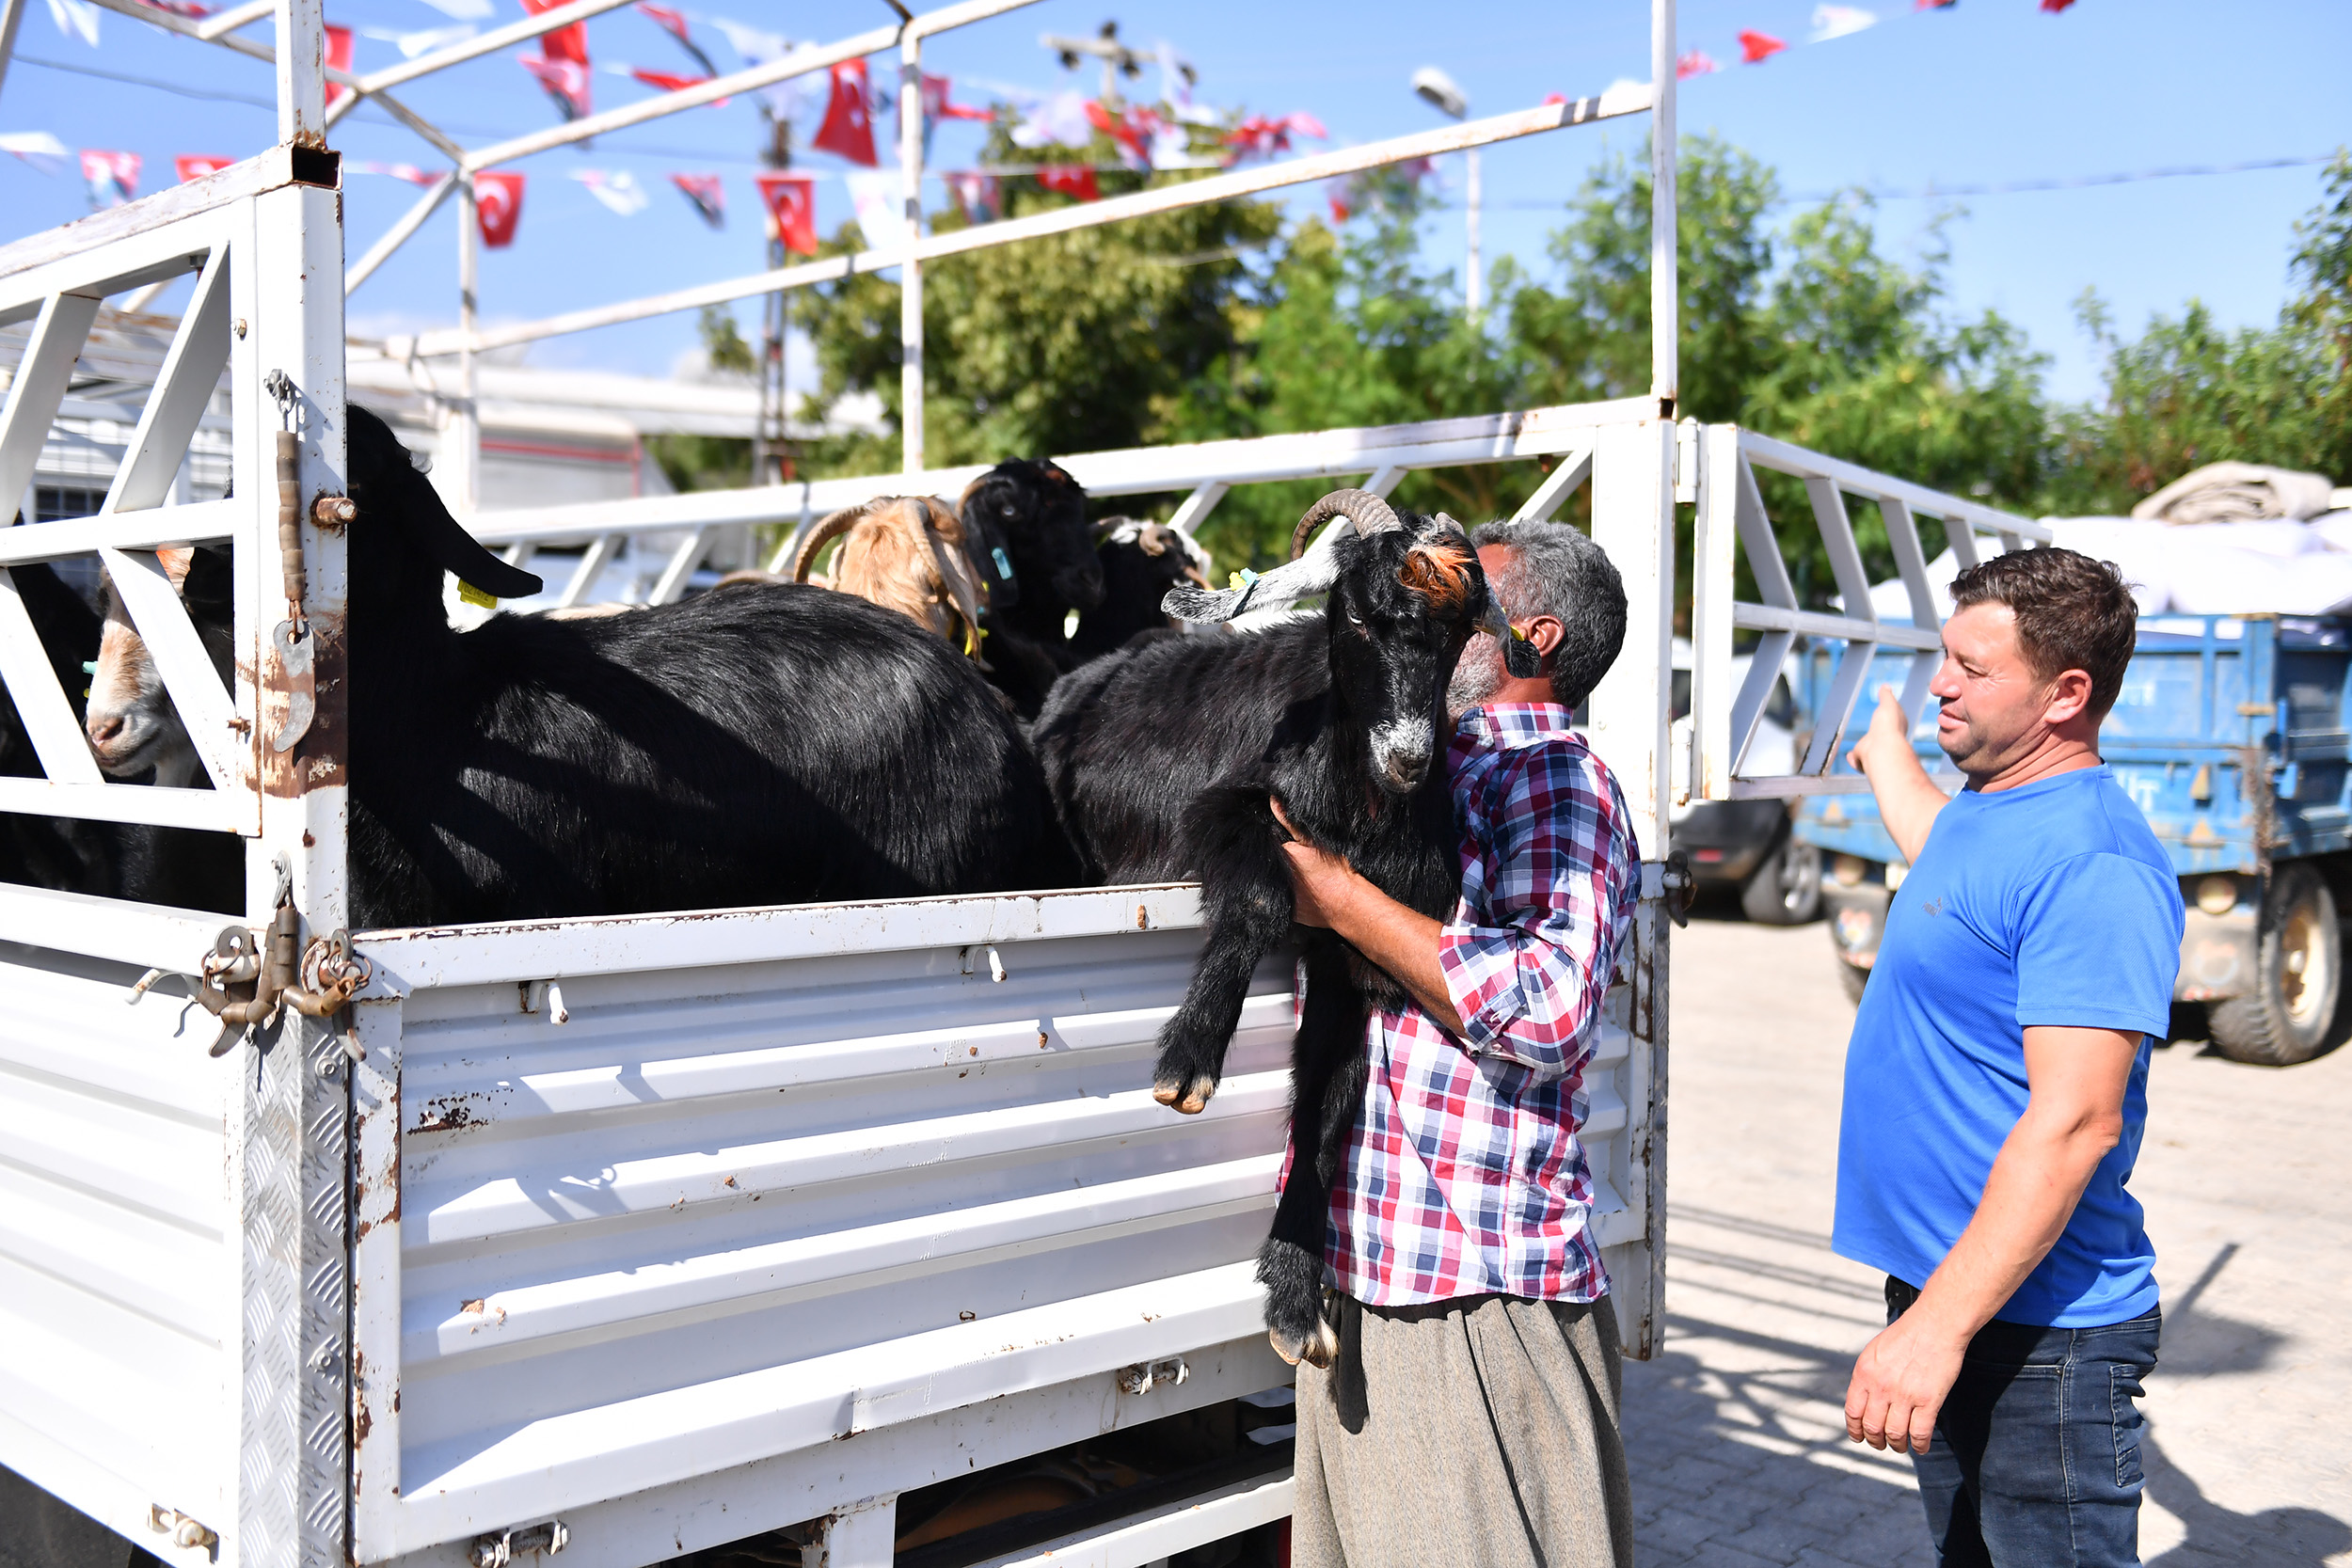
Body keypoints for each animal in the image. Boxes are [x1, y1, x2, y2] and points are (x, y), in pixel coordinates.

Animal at [1040, 486, 1534, 1363]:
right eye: (1361, 615)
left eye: (1457, 634)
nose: (1409, 758)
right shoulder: (1225, 811)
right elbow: (1264, 898)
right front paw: (1190, 1060)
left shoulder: (1356, 952)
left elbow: (1330, 1102)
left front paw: (1296, 1295)